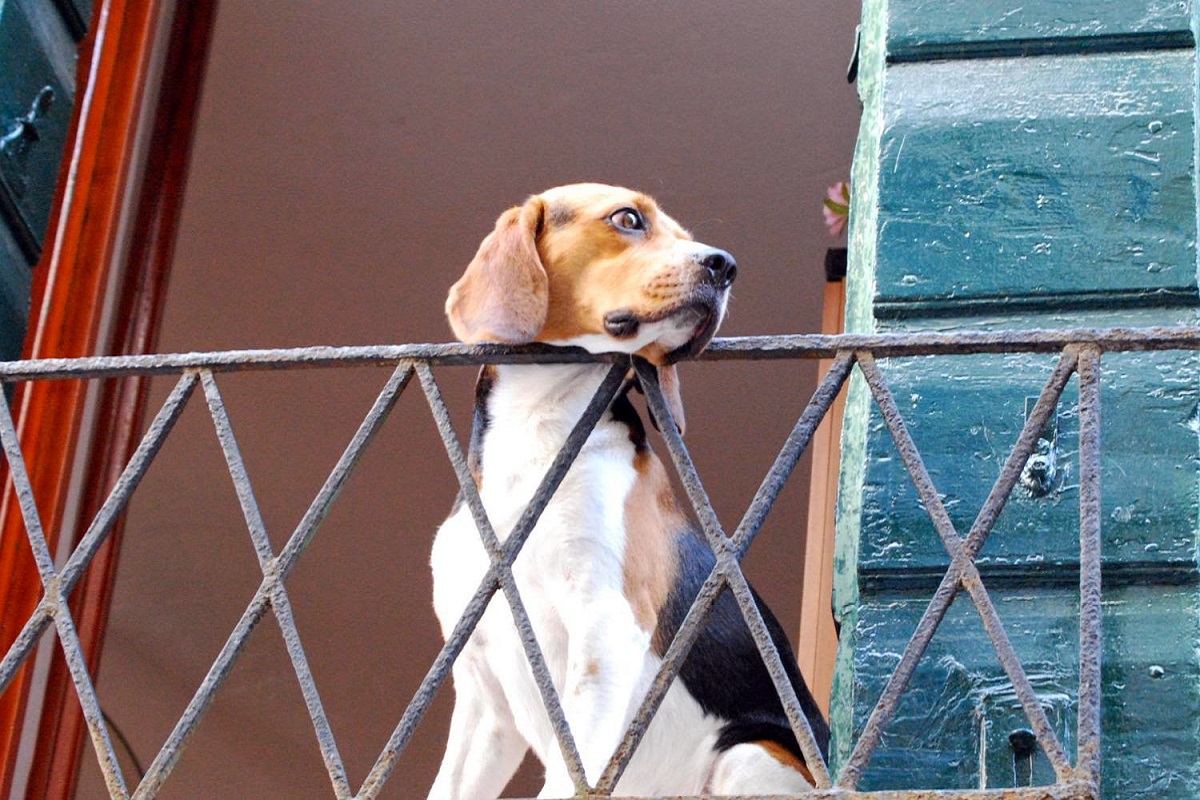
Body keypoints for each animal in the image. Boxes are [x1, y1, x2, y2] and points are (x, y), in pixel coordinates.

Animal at [427, 184, 830, 796]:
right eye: (628, 219)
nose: (725, 266)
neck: (538, 426)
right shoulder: (484, 698)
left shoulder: (604, 631)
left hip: (745, 755)